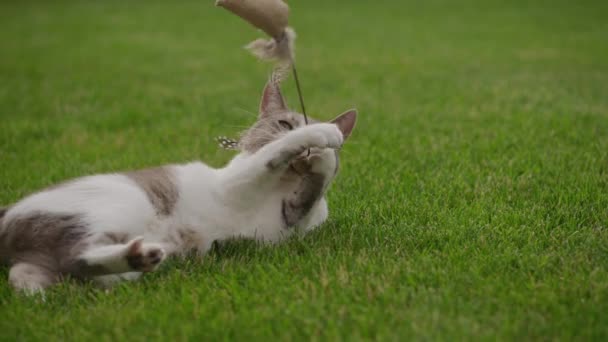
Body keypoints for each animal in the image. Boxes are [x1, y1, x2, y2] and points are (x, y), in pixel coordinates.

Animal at [0, 81, 356, 296]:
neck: (285, 182)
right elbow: (275, 153)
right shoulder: (240, 182)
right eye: (284, 124)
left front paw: (324, 156)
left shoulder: (292, 220)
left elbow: (313, 190)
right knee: (75, 255)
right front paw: (322, 137)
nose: (308, 155)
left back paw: (140, 257)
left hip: (92, 272)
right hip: (116, 206)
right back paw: (139, 254)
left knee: (63, 268)